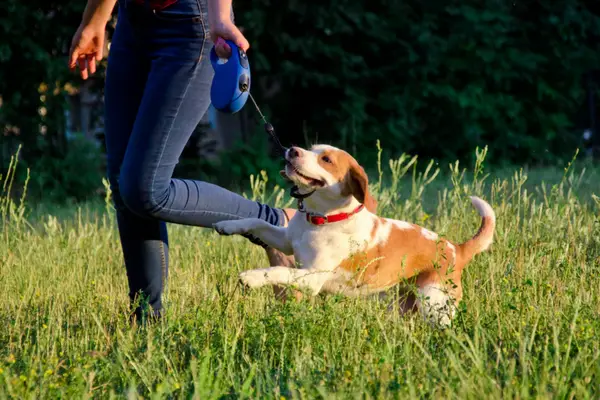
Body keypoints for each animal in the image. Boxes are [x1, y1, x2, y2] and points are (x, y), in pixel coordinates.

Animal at [213, 145, 494, 326]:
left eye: (326, 159)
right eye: (311, 149)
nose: (292, 150)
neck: (322, 219)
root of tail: (457, 248)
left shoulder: (312, 278)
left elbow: (277, 270)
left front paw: (251, 277)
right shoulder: (286, 242)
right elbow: (257, 222)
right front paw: (227, 224)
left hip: (434, 305)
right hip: (405, 306)